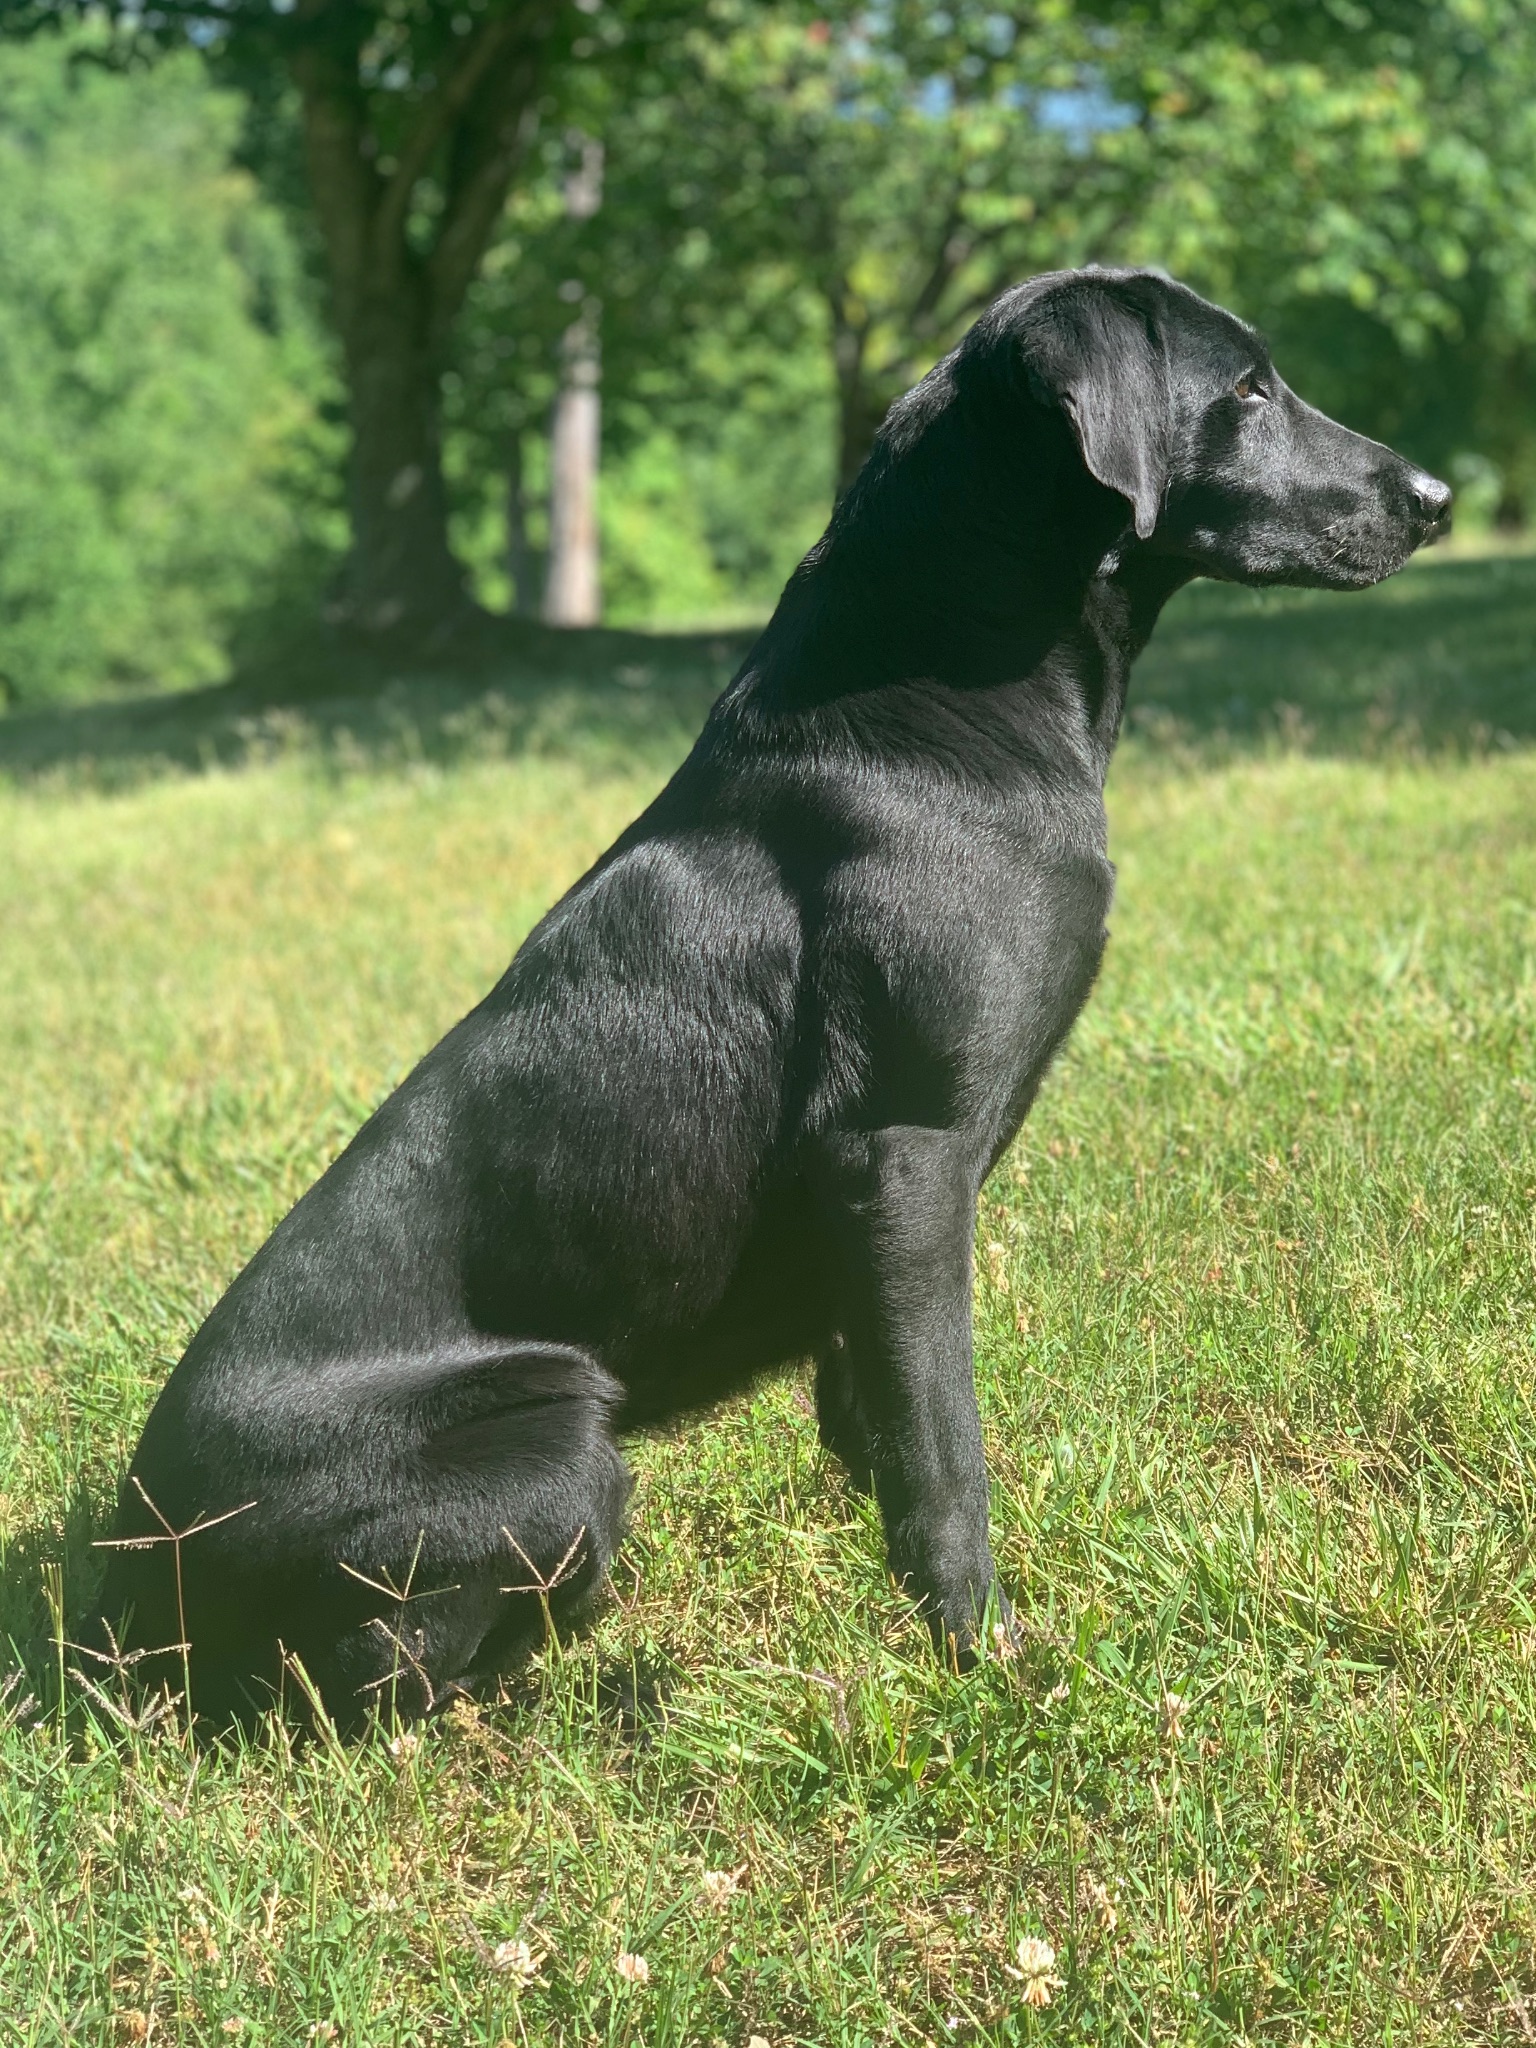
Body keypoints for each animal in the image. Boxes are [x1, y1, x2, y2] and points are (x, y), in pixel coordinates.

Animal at [99, 264, 1458, 1720]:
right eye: (1248, 387)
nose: (1437, 497)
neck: (955, 678)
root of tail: (124, 1568)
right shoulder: (904, 1152)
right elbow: (944, 1443)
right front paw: (988, 1662)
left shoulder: (865, 1215)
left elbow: (874, 1420)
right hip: (558, 1435)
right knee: (365, 1680)